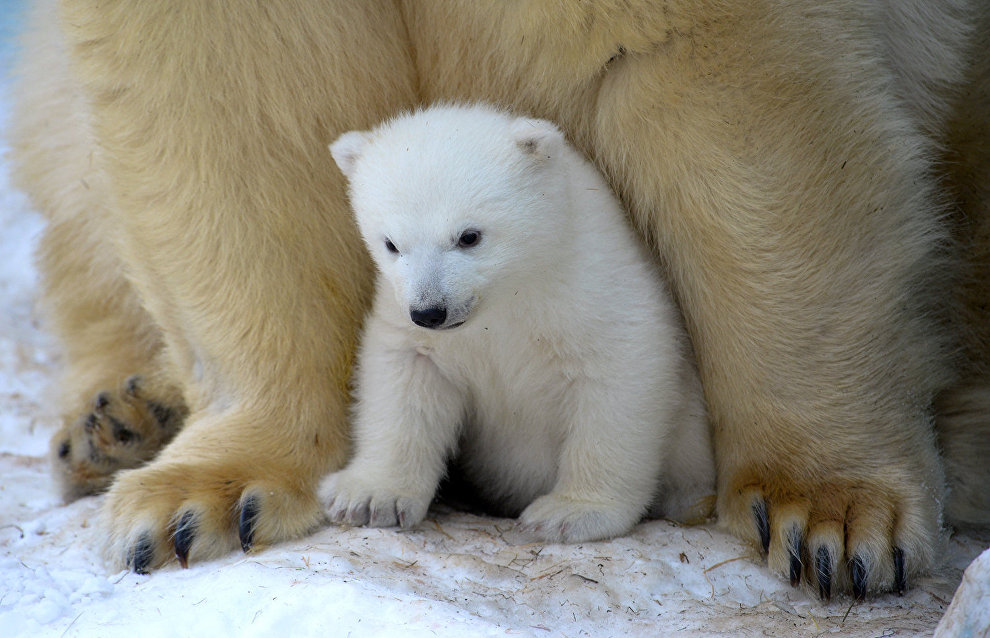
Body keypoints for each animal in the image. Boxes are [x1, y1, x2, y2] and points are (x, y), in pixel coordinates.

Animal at [320, 104, 715, 542]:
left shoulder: (595, 289)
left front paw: (570, 512)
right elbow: (406, 379)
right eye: (391, 244)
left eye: (469, 236)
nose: (429, 312)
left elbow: (621, 379)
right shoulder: (409, 321)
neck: (510, 292)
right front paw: (370, 497)